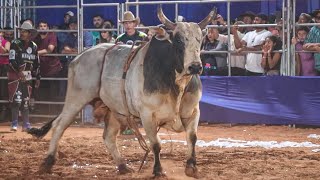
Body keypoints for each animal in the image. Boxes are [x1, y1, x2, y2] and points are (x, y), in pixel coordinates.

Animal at [28, 6, 216, 178]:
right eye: (178, 40)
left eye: (199, 40)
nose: (195, 67)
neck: (175, 81)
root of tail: (79, 57)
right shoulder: (148, 114)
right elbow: (156, 143)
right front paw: (157, 170)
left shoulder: (193, 111)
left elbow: (192, 137)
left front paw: (191, 167)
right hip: (76, 99)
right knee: (59, 125)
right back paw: (48, 162)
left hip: (113, 110)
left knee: (108, 137)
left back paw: (123, 166)